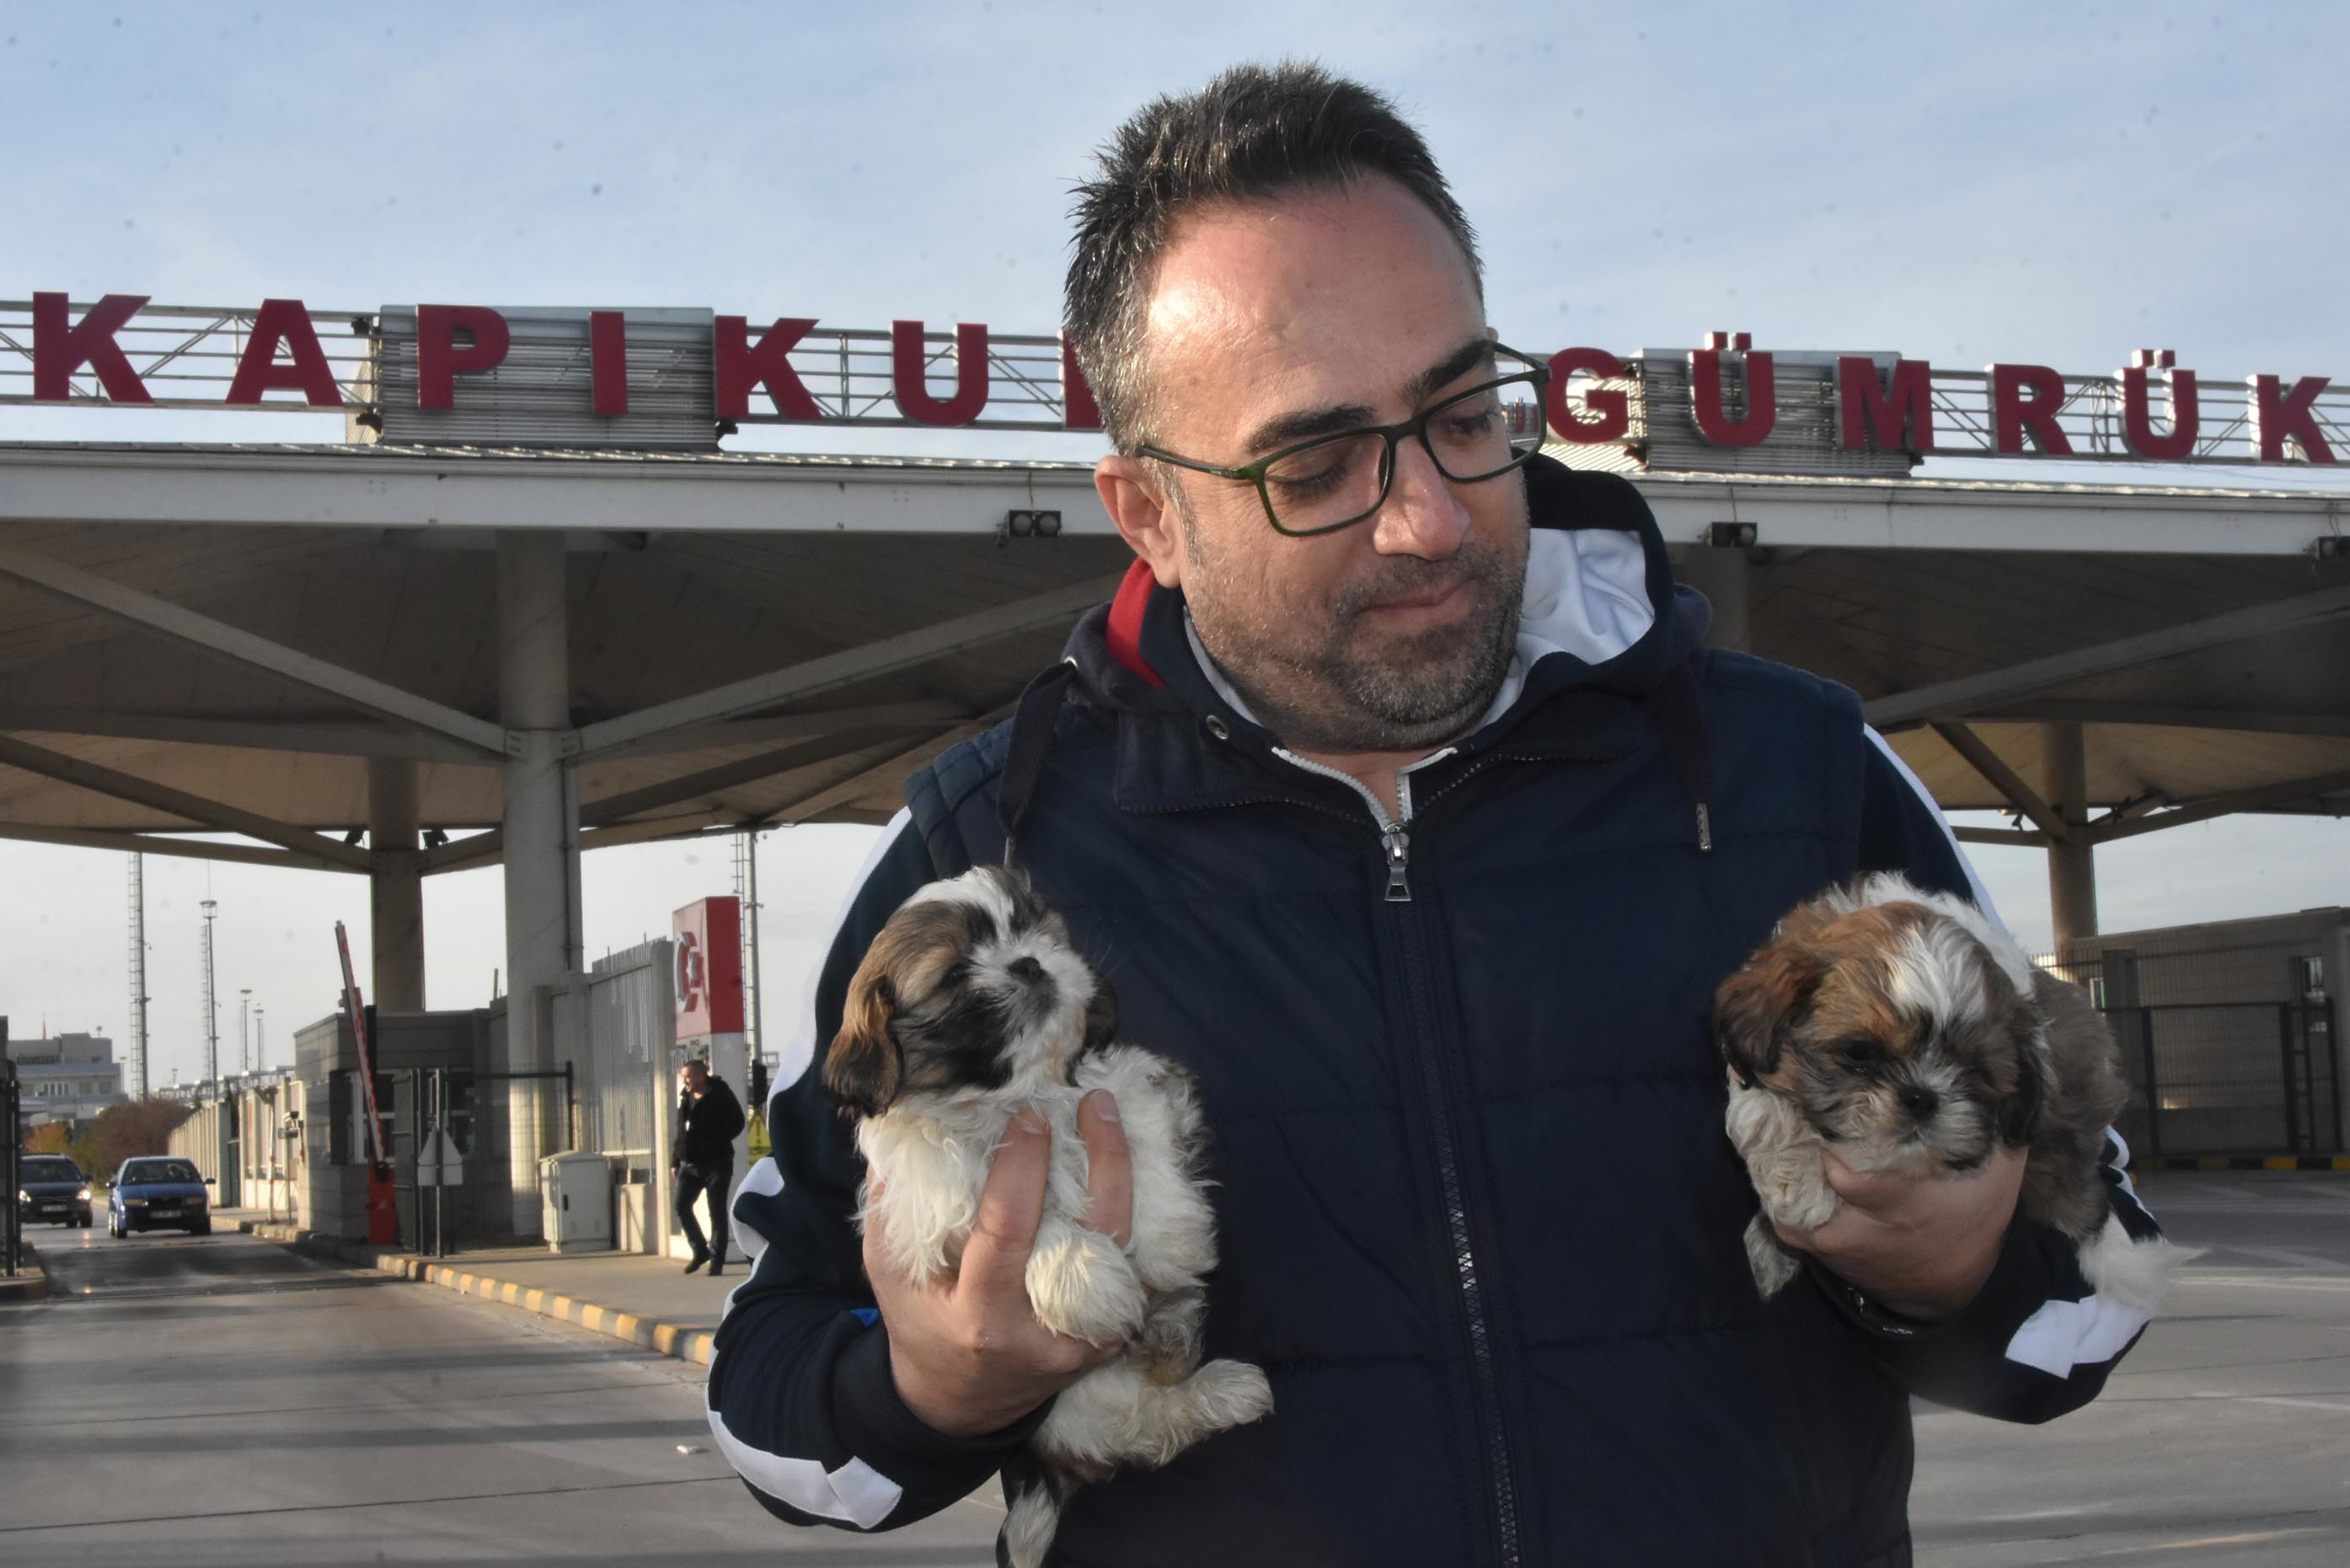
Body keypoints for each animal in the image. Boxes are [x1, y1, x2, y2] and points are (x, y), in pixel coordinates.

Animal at [827, 870, 1269, 1568]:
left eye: (1036, 930)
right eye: (954, 974)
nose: (1029, 963)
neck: (1021, 1094)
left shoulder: (1128, 1080)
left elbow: (1136, 1127)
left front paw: (1169, 1237)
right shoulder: (932, 1199)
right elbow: (1024, 1218)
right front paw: (1089, 1281)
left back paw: (1212, 1375)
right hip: (1074, 1406)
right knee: (1147, 1424)